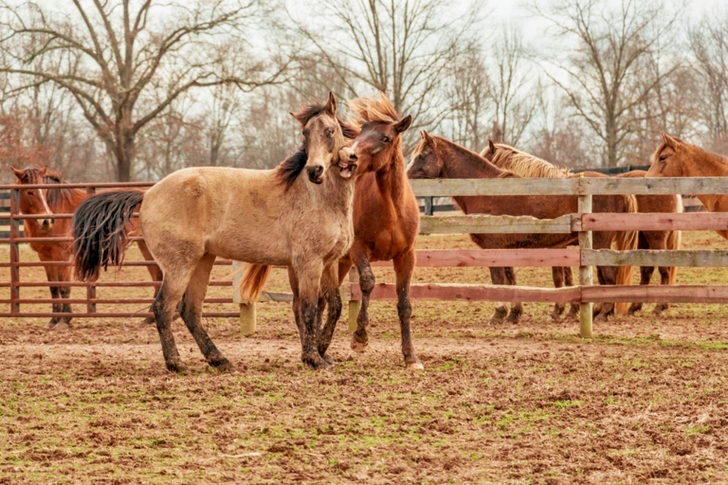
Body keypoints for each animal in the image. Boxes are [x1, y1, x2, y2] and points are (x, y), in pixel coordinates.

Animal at [10, 166, 162, 328]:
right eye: (30, 192)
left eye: (45, 191)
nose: (47, 221)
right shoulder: (45, 256)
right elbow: (53, 287)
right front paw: (53, 320)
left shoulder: (62, 255)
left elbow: (64, 286)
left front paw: (64, 320)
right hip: (145, 246)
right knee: (158, 278)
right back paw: (149, 318)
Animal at [73, 92, 359, 372]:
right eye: (305, 133)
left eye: (330, 130)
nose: (314, 171)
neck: (317, 197)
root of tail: (148, 193)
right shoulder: (308, 263)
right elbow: (309, 309)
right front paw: (314, 359)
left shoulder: (328, 263)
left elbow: (332, 306)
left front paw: (320, 353)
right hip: (179, 266)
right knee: (164, 308)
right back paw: (177, 363)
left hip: (202, 261)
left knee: (190, 311)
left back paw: (219, 360)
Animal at [407, 132, 638, 324]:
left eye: (422, 155)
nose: (405, 178)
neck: (485, 190)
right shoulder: (506, 249)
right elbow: (511, 280)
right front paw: (514, 314)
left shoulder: (493, 248)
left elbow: (498, 280)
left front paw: (498, 314)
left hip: (599, 244)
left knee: (609, 277)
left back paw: (603, 314)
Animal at [480, 141, 681, 316]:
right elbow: (568, 278)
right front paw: (570, 311)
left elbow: (558, 278)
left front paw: (559, 311)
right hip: (642, 240)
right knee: (646, 269)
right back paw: (633, 307)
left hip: (654, 237)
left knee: (663, 269)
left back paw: (657, 306)